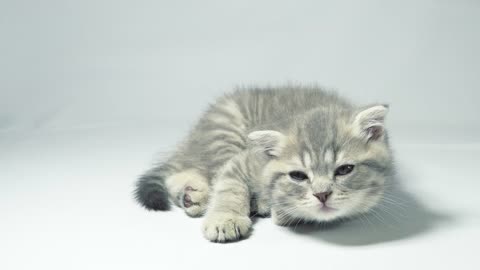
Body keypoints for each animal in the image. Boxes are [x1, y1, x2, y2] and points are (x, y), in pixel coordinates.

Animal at [135, 86, 394, 243]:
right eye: (298, 175)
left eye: (344, 170)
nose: (322, 195)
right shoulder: (243, 160)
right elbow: (228, 186)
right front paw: (225, 219)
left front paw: (282, 209)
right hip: (225, 136)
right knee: (200, 171)